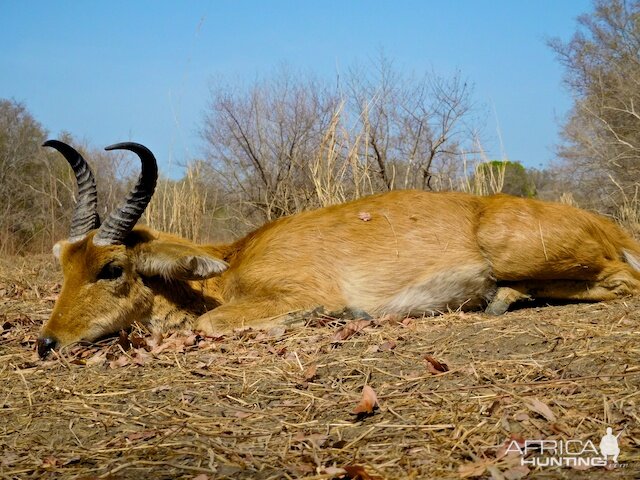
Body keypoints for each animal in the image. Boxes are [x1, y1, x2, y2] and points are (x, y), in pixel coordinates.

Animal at [36, 139, 640, 356]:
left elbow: (211, 324)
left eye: (111, 268)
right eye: (64, 264)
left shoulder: (297, 292)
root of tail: (605, 223)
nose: (46, 343)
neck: (232, 262)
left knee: (623, 281)